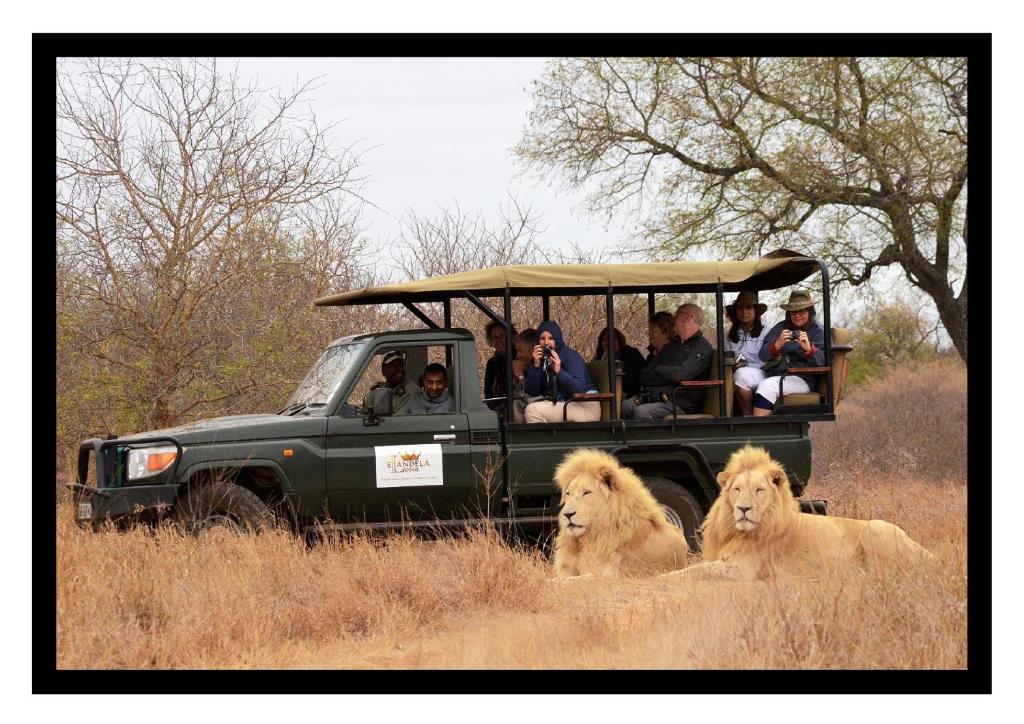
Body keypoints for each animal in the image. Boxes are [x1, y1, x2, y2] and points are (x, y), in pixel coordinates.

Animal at [671, 444, 937, 581]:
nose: (743, 509)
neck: (735, 531)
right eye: (737, 489)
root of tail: (928, 552)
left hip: (877, 528)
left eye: (759, 490)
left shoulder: (743, 569)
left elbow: (692, 571)